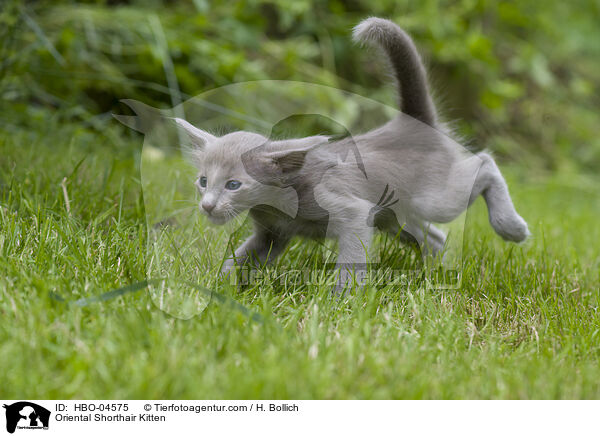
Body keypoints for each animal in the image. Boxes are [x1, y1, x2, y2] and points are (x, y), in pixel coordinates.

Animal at [175, 17, 528, 292]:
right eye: (203, 181)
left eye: (234, 185)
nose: (207, 206)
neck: (280, 199)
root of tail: (411, 122)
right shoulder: (272, 234)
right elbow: (241, 259)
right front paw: (214, 290)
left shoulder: (354, 213)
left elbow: (351, 260)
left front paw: (342, 301)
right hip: (393, 217)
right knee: (435, 237)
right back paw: (430, 275)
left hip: (434, 198)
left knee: (484, 164)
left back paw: (510, 226)